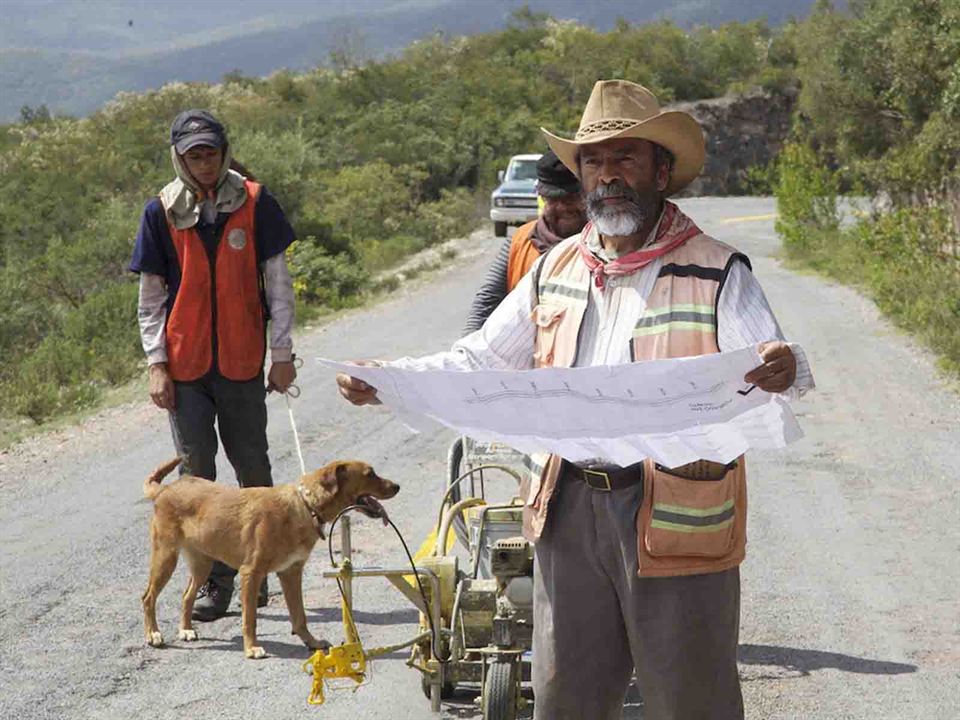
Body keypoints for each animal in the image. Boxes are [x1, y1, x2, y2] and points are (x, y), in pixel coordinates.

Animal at [141, 458, 400, 660]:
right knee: (148, 597)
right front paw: (251, 648)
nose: (397, 486)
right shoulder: (251, 573)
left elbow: (300, 616)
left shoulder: (291, 573)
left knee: (186, 596)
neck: (305, 507)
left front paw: (312, 642)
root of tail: (166, 489)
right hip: (165, 557)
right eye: (370, 474)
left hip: (202, 564)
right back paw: (153, 634)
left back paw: (185, 629)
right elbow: (250, 618)